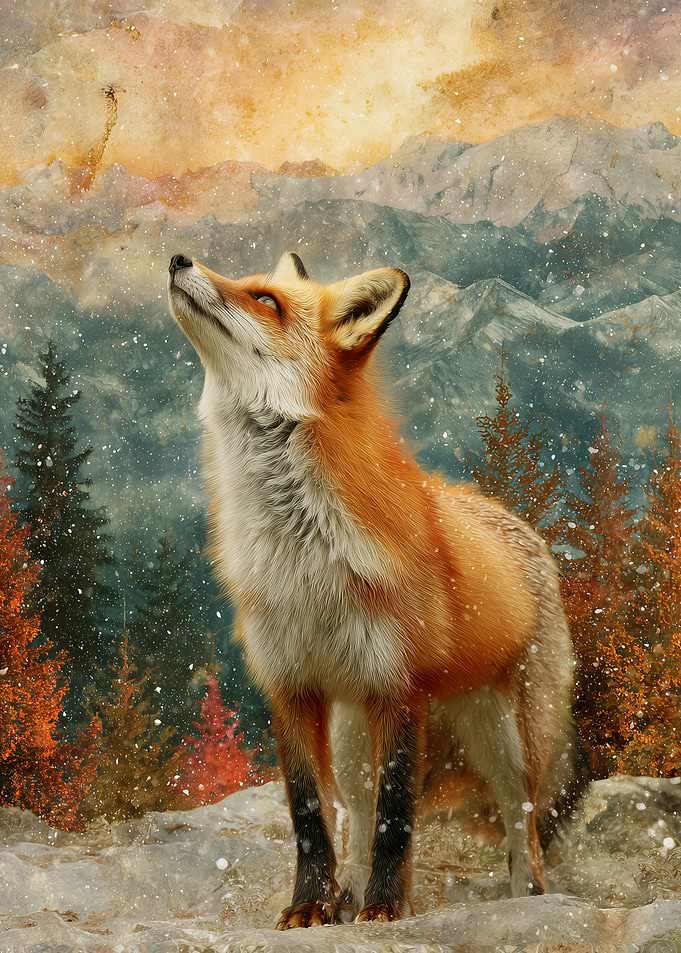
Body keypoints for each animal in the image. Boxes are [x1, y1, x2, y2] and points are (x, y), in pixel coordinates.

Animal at [167, 250, 589, 930]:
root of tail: (518, 522)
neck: (303, 556)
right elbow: (312, 815)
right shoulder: (290, 685)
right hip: (351, 732)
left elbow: (398, 815)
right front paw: (310, 905)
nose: (179, 259)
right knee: (358, 819)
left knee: (520, 822)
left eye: (265, 300)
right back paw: (349, 889)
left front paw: (388, 908)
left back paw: (526, 896)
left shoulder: (397, 689)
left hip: (506, 738)